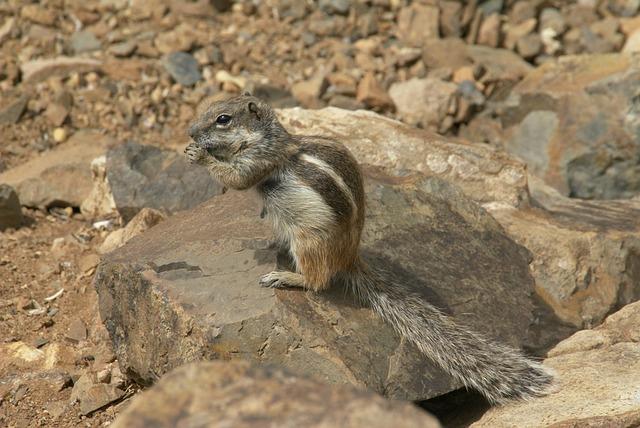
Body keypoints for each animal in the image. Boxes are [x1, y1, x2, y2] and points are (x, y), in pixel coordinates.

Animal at [182, 93, 552, 404]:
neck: (265, 136)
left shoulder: (260, 160)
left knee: (319, 280)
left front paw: (198, 155)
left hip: (309, 241)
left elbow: (236, 179)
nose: (189, 131)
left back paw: (287, 277)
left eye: (223, 119)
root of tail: (350, 257)